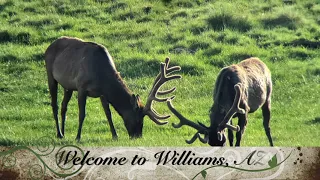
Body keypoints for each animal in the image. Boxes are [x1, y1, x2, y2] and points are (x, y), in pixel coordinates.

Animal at [44, 36, 181, 142]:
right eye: (138, 119)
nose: (137, 136)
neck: (102, 77)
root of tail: (49, 46)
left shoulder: (102, 93)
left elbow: (108, 114)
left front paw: (115, 135)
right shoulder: (81, 87)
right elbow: (82, 114)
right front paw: (78, 137)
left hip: (68, 86)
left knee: (64, 106)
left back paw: (63, 133)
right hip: (50, 75)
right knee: (54, 105)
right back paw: (59, 134)